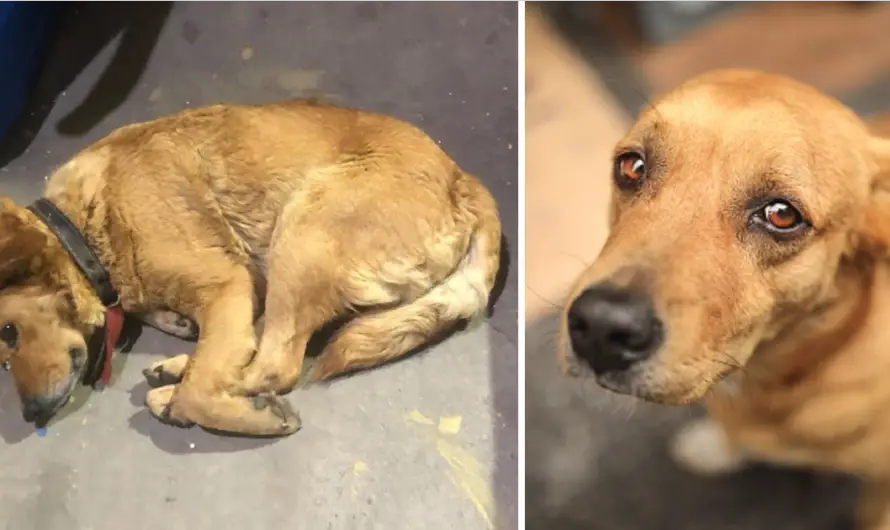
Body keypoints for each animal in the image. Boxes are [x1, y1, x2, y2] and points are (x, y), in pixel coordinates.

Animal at [0, 99, 500, 438]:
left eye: (8, 332)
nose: (30, 415)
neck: (83, 227)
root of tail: (464, 180)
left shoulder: (228, 285)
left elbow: (208, 384)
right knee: (258, 349)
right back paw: (179, 368)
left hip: (300, 233)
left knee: (274, 366)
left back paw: (179, 397)